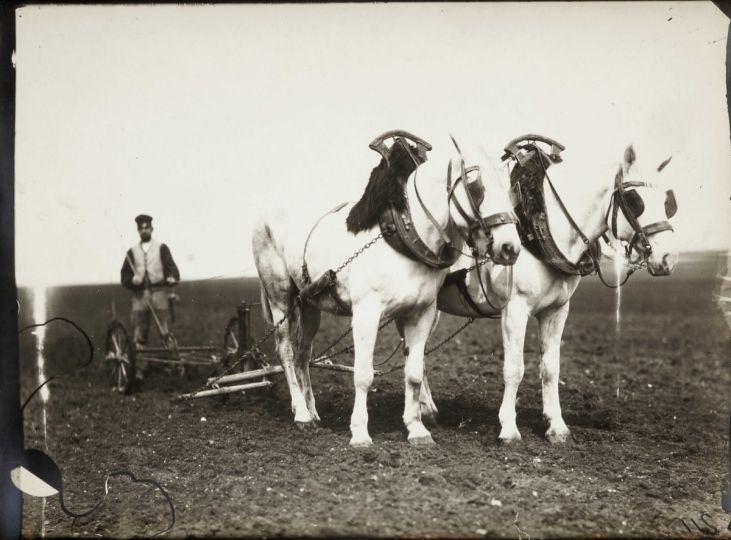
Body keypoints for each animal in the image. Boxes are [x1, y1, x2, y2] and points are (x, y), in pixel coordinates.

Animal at [251, 131, 521, 447]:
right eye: (475, 184)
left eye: (511, 187)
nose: (510, 248)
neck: (403, 238)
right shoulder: (366, 314)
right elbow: (363, 374)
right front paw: (359, 432)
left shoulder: (421, 314)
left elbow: (414, 372)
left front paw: (417, 429)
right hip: (280, 297)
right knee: (285, 351)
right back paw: (302, 415)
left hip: (309, 304)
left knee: (303, 354)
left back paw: (312, 411)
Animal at [436, 137, 679, 443]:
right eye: (636, 201)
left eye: (668, 202)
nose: (669, 257)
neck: (543, 226)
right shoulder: (514, 310)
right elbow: (514, 368)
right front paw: (509, 428)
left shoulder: (557, 310)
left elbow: (551, 368)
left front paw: (556, 426)